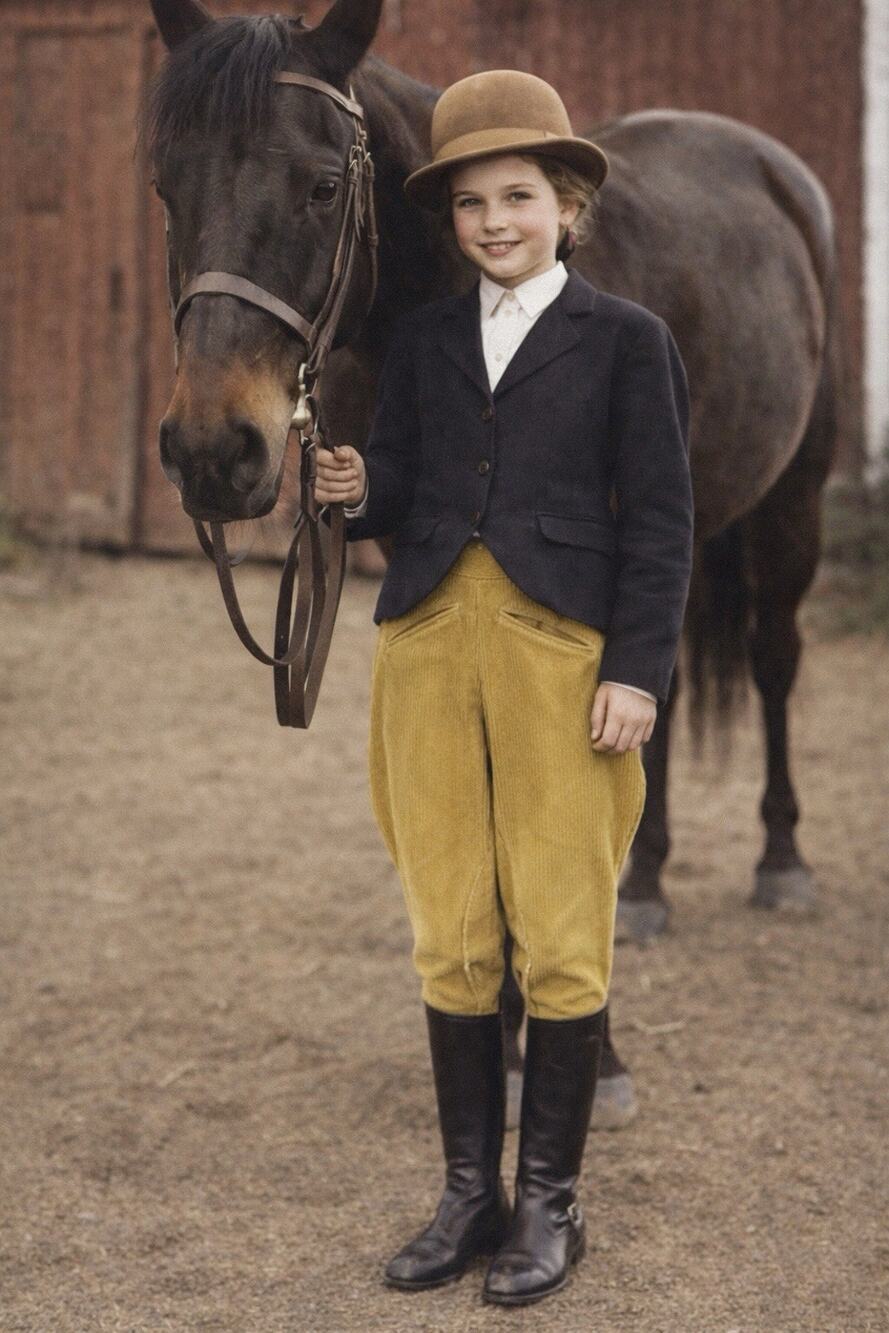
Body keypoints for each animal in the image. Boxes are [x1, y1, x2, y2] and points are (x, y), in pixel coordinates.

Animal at [142, 0, 843, 1127]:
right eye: (168, 185)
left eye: (323, 186)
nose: (211, 451)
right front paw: (510, 1042)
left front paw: (587, 1055)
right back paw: (643, 885)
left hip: (792, 502)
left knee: (771, 662)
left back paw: (781, 860)